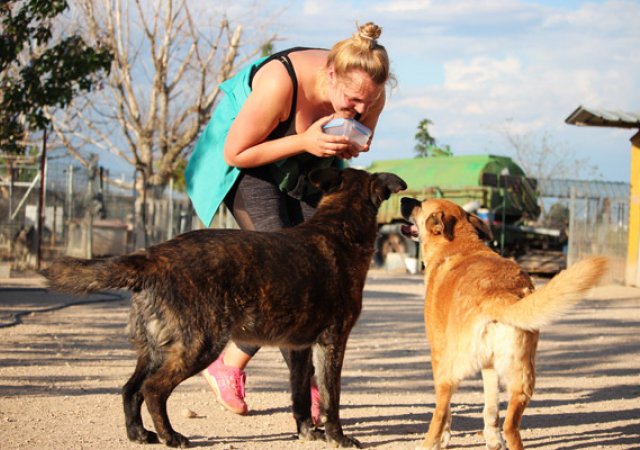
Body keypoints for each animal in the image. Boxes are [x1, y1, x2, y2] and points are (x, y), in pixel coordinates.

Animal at [43, 167, 406, 448]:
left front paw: (307, 432)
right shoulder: (331, 343)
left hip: (157, 349)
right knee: (152, 390)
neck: (338, 226)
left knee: (130, 389)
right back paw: (171, 436)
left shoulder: (299, 348)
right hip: (197, 347)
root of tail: (153, 256)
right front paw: (337, 437)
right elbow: (332, 398)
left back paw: (139, 434)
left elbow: (301, 396)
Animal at [400, 197, 607, 450]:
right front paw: (492, 438)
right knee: (510, 426)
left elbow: (447, 411)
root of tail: (497, 297)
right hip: (522, 379)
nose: (403, 199)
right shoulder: (489, 367)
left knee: (440, 412)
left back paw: (428, 442)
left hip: (449, 370)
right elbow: (491, 409)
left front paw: (444, 438)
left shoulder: (437, 354)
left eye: (421, 204)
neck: (458, 243)